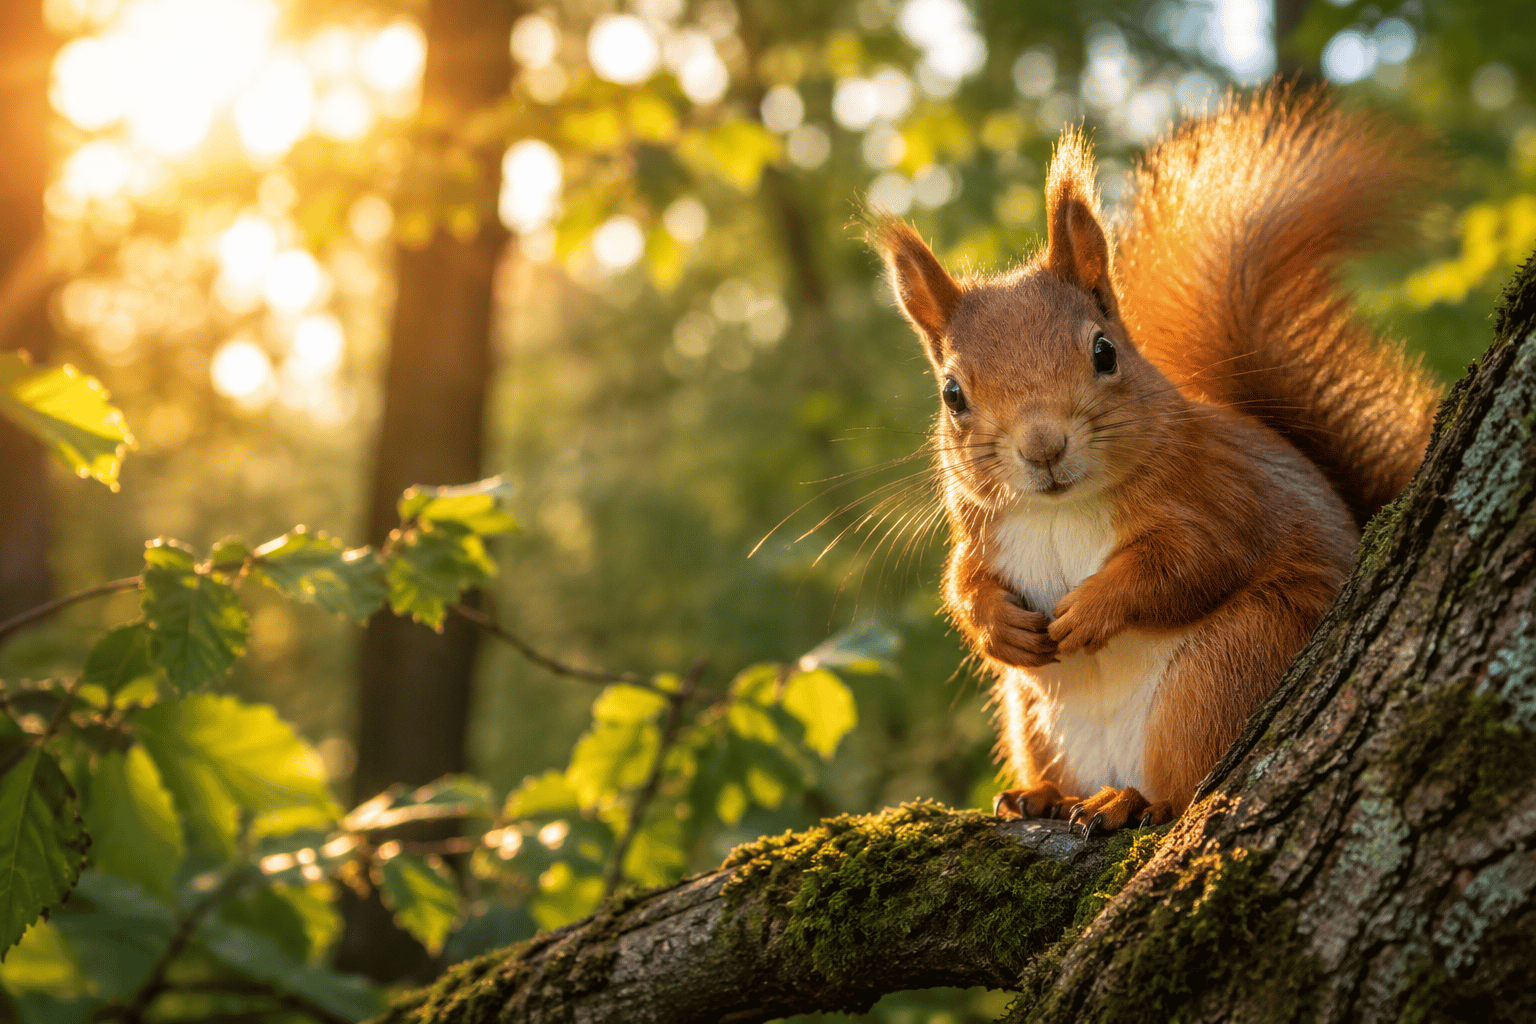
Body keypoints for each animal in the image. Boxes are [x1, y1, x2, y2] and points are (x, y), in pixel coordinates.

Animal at [877, 89, 1442, 836]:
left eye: (1104, 352)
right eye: (952, 394)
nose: (1042, 448)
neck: (1060, 509)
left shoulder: (1223, 494)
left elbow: (1190, 563)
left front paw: (1091, 608)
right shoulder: (980, 534)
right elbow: (962, 585)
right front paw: (1000, 624)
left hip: (1226, 668)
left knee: (1182, 786)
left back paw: (1130, 802)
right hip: (1034, 719)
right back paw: (1041, 797)